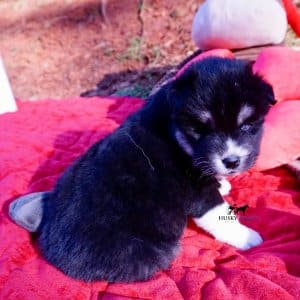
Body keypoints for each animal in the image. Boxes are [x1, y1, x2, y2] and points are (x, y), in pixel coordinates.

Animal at [9, 57, 276, 282]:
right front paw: (246, 237)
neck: (173, 134)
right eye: (201, 129)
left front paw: (222, 183)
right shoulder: (198, 194)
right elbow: (222, 216)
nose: (231, 161)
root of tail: (49, 249)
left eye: (247, 125)